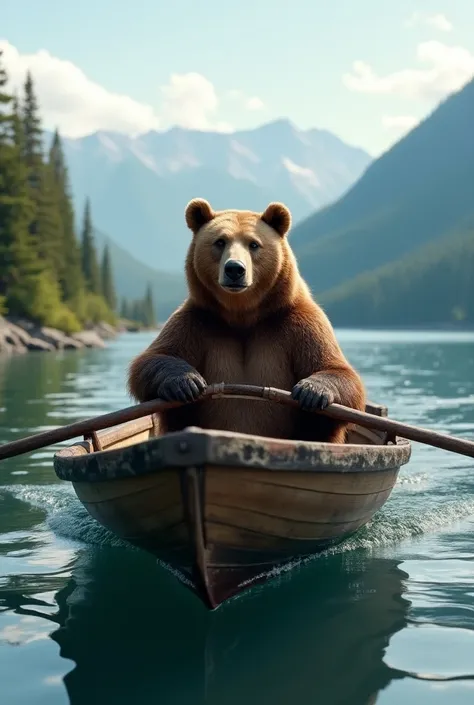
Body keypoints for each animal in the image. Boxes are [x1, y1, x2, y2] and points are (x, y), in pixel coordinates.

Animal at [128, 198, 364, 440]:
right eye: (220, 241)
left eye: (254, 244)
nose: (234, 269)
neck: (243, 314)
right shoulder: (199, 322)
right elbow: (152, 359)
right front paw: (185, 381)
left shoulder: (298, 324)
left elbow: (337, 370)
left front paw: (312, 391)